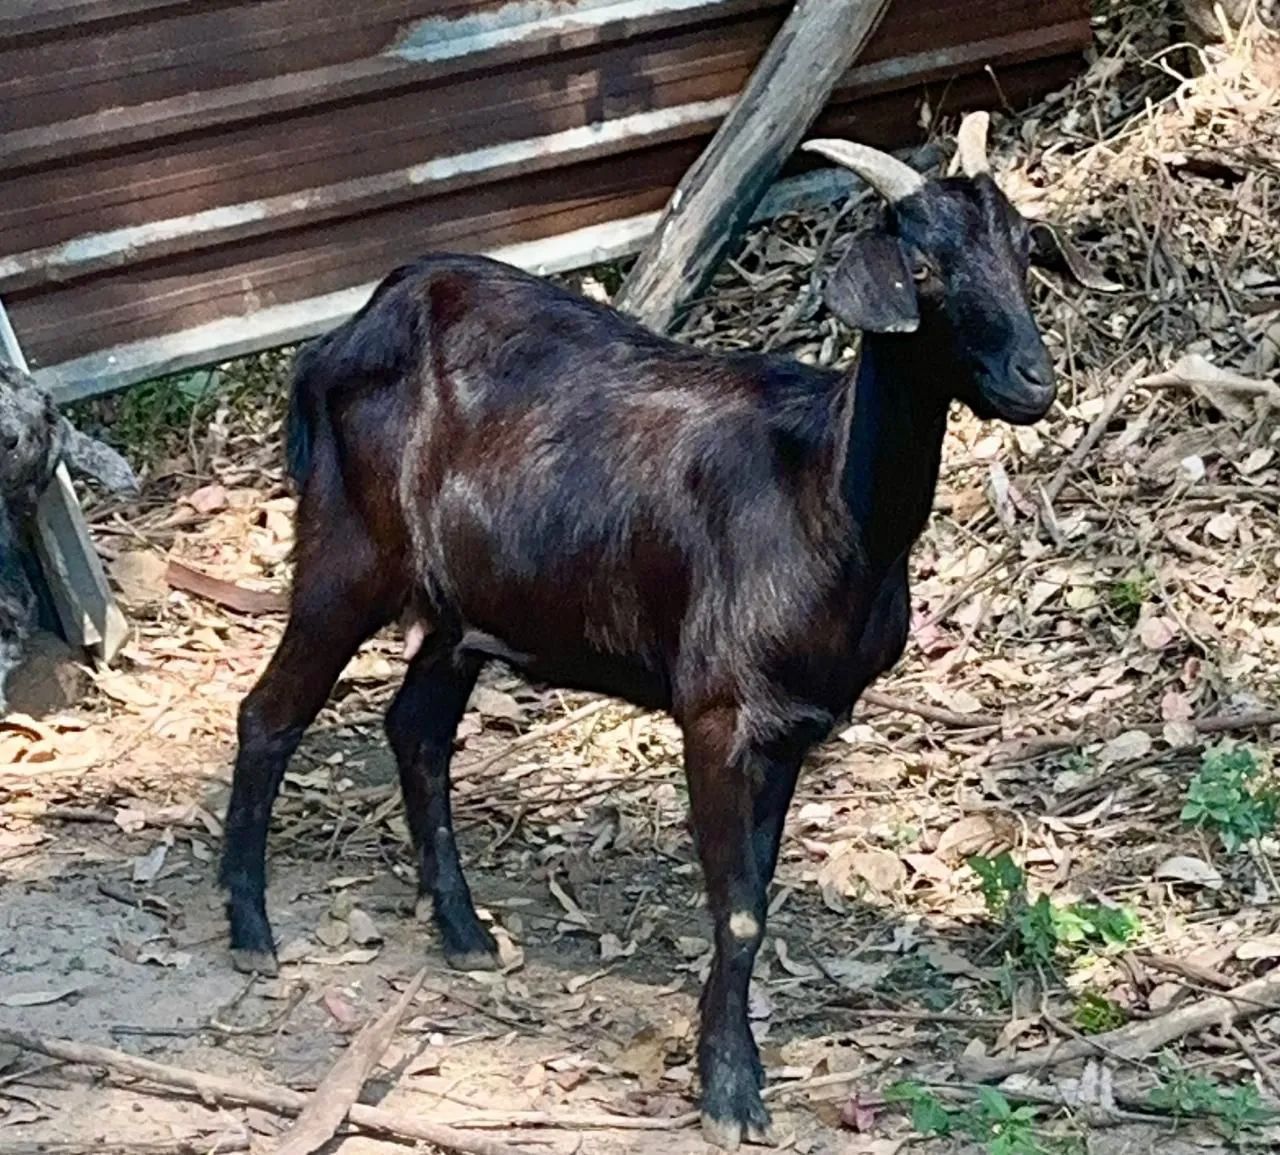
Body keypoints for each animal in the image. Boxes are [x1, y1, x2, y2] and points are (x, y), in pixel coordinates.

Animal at [220, 114, 1100, 1149]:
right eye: (922, 268)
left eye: (1024, 252)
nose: (1033, 381)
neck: (824, 495)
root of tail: (342, 335)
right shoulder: (718, 709)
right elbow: (738, 908)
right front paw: (730, 1092)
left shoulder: (794, 725)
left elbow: (753, 894)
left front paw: (731, 1067)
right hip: (346, 554)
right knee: (270, 712)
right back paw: (250, 928)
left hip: (465, 608)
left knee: (417, 729)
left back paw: (466, 932)